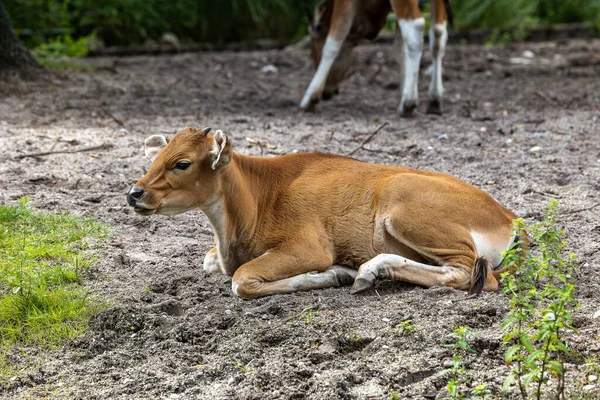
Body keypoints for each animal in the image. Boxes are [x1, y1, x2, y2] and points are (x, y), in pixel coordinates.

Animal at [129, 126, 516, 298]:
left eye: (182, 163)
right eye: (156, 157)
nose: (135, 193)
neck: (257, 201)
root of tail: (509, 218)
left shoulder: (309, 246)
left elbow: (241, 279)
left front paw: (334, 274)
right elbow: (211, 261)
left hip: (403, 205)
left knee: (471, 273)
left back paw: (367, 271)